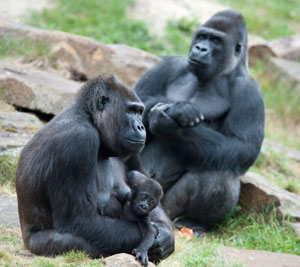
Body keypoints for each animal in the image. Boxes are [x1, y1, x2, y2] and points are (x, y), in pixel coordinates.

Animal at [16, 74, 175, 260]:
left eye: (139, 112)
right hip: (34, 244)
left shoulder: (133, 150)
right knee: (66, 241)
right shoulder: (79, 140)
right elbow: (80, 221)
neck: (90, 118)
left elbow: (149, 188)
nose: (140, 126)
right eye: (130, 111)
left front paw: (166, 236)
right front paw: (152, 238)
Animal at [134, 9, 264, 236]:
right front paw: (175, 108)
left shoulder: (250, 92)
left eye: (216, 41)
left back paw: (193, 222)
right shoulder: (170, 65)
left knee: (221, 171)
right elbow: (132, 100)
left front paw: (172, 125)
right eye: (202, 36)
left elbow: (243, 146)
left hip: (164, 208)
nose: (201, 48)